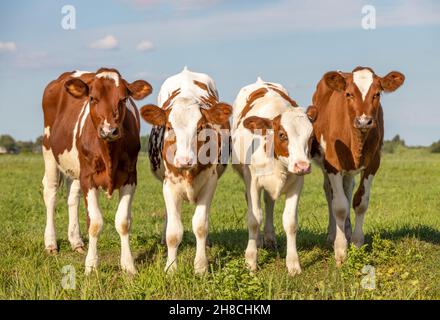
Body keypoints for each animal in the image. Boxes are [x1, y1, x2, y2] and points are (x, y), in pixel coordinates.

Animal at [42, 68, 153, 276]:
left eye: (123, 99)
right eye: (92, 98)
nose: (109, 130)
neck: (109, 152)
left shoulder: (130, 178)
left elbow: (123, 222)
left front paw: (128, 265)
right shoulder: (89, 178)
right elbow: (94, 223)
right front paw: (91, 266)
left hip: (76, 168)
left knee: (72, 197)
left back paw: (76, 242)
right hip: (49, 151)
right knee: (50, 193)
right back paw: (51, 243)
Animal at [139, 66, 232, 274]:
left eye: (201, 127)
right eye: (168, 126)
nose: (184, 160)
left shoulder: (210, 183)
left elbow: (200, 225)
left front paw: (200, 267)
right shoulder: (169, 185)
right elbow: (173, 232)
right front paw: (171, 268)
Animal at [230, 78, 316, 276]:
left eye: (311, 136)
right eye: (283, 134)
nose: (303, 165)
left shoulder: (297, 183)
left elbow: (290, 222)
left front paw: (293, 264)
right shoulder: (253, 182)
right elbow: (254, 219)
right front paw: (251, 260)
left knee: (269, 203)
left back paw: (269, 237)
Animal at [310, 66, 406, 264]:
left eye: (377, 94)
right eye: (348, 94)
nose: (363, 121)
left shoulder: (373, 163)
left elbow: (360, 202)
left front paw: (356, 243)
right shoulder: (332, 163)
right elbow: (339, 206)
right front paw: (340, 250)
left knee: (347, 189)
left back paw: (346, 230)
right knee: (330, 193)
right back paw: (332, 234)